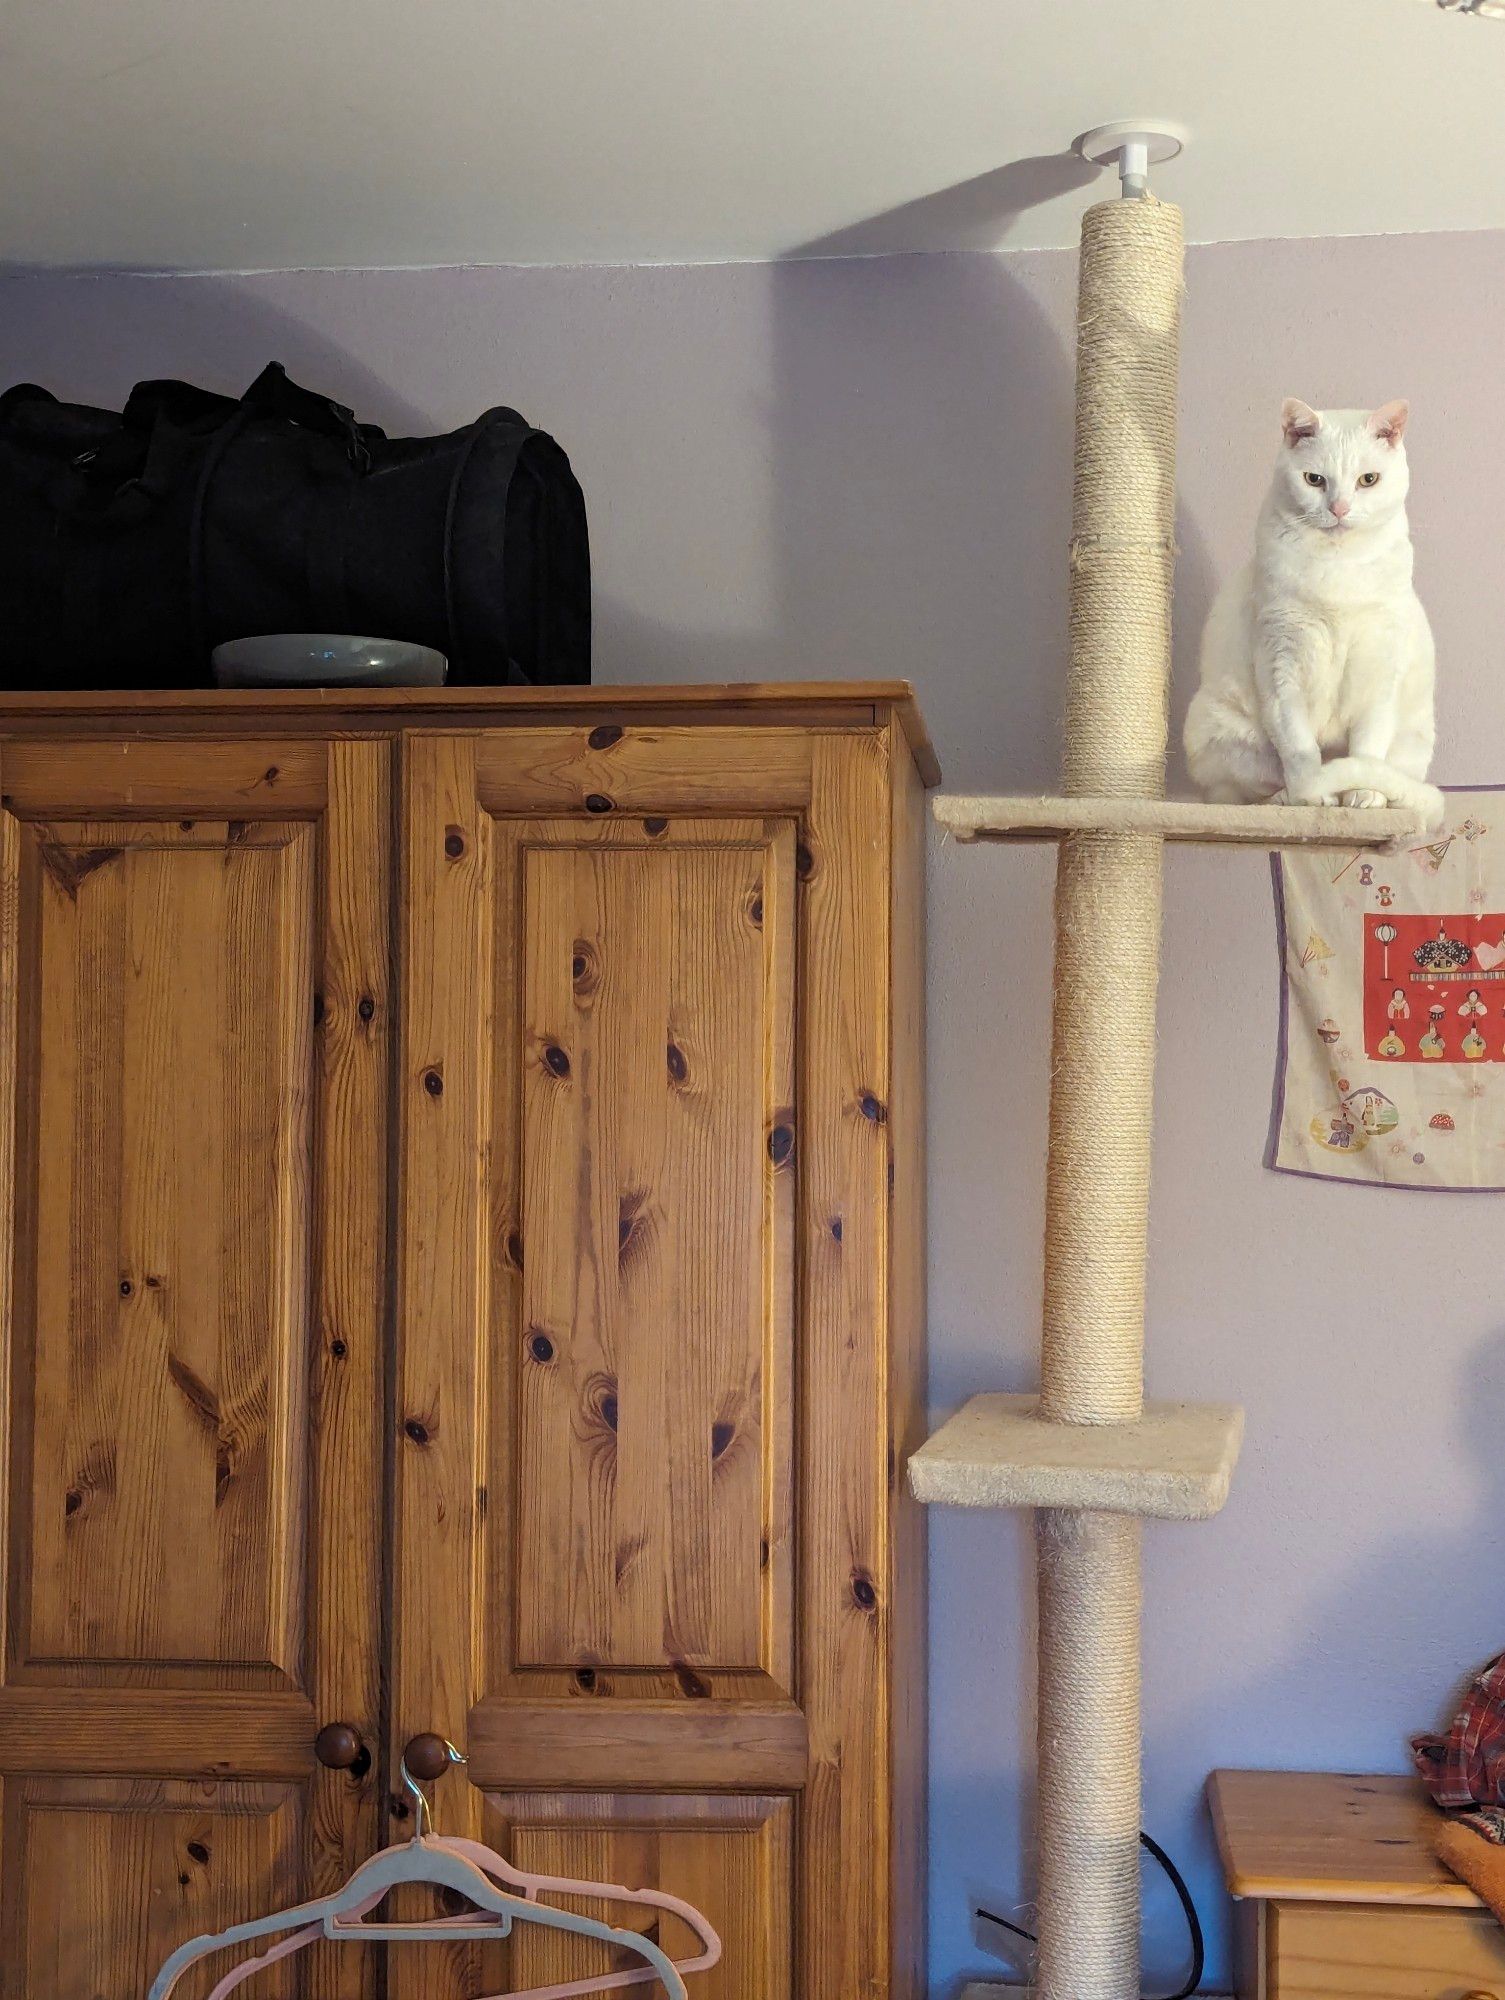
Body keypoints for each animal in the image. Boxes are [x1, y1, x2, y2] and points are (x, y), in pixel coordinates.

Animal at [1184, 402, 1448, 824]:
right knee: (1240, 793)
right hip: (1221, 736)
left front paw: (1362, 795)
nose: (1339, 508)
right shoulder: (1280, 667)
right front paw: (1313, 795)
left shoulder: (1379, 668)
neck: (1338, 568)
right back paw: (1285, 800)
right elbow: (1299, 746)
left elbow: (1368, 746)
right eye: (1314, 479)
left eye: (1368, 480)